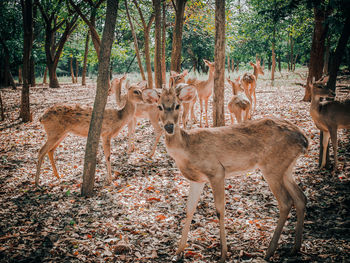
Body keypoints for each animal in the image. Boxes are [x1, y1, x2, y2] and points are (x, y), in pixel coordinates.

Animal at [144, 84, 308, 262]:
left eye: (177, 105)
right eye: (159, 106)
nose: (169, 127)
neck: (187, 149)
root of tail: (304, 139)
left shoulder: (216, 171)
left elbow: (220, 210)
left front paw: (223, 254)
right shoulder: (197, 180)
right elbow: (189, 209)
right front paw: (179, 251)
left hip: (272, 166)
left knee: (286, 202)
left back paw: (269, 251)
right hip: (286, 168)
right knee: (300, 198)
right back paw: (295, 248)